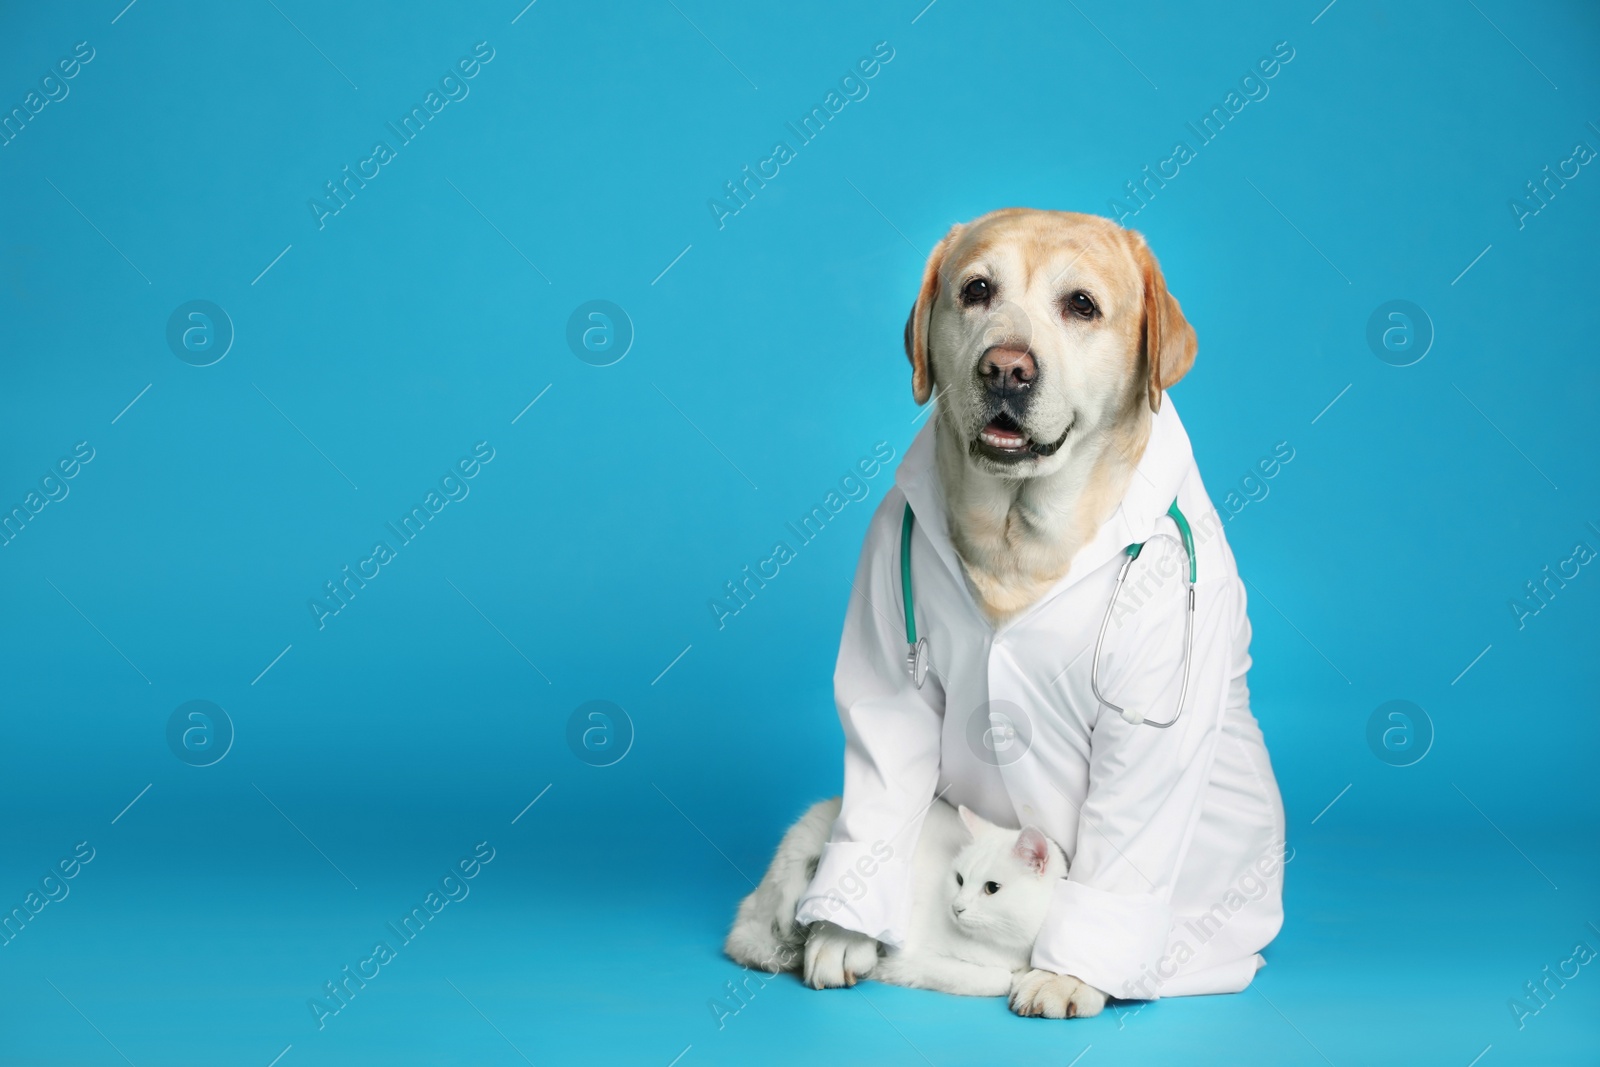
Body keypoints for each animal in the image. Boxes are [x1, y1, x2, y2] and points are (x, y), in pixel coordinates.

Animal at [726, 796, 1062, 998]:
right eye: (959, 880)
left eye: (991, 888)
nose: (957, 908)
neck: (1005, 947)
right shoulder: (913, 955)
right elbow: (996, 979)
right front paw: (882, 971)